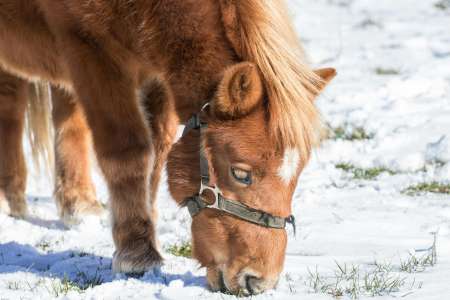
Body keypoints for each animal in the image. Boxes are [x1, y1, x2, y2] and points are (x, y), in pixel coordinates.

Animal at [0, 0, 336, 296]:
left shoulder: (157, 71)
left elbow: (157, 150)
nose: (259, 281)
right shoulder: (90, 52)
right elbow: (128, 151)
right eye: (241, 174)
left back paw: (76, 205)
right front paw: (137, 253)